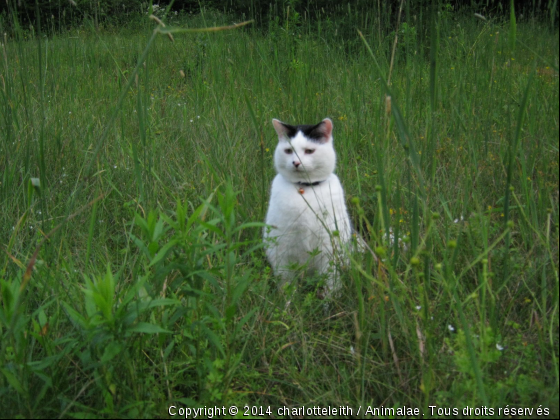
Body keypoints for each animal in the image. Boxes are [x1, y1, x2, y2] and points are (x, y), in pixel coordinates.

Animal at [264, 116, 352, 296]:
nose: (296, 162)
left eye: (309, 151)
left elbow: (330, 279)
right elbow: (287, 281)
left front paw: (330, 299)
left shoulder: (328, 244)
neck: (306, 189)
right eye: (288, 151)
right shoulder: (283, 245)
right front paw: (288, 300)